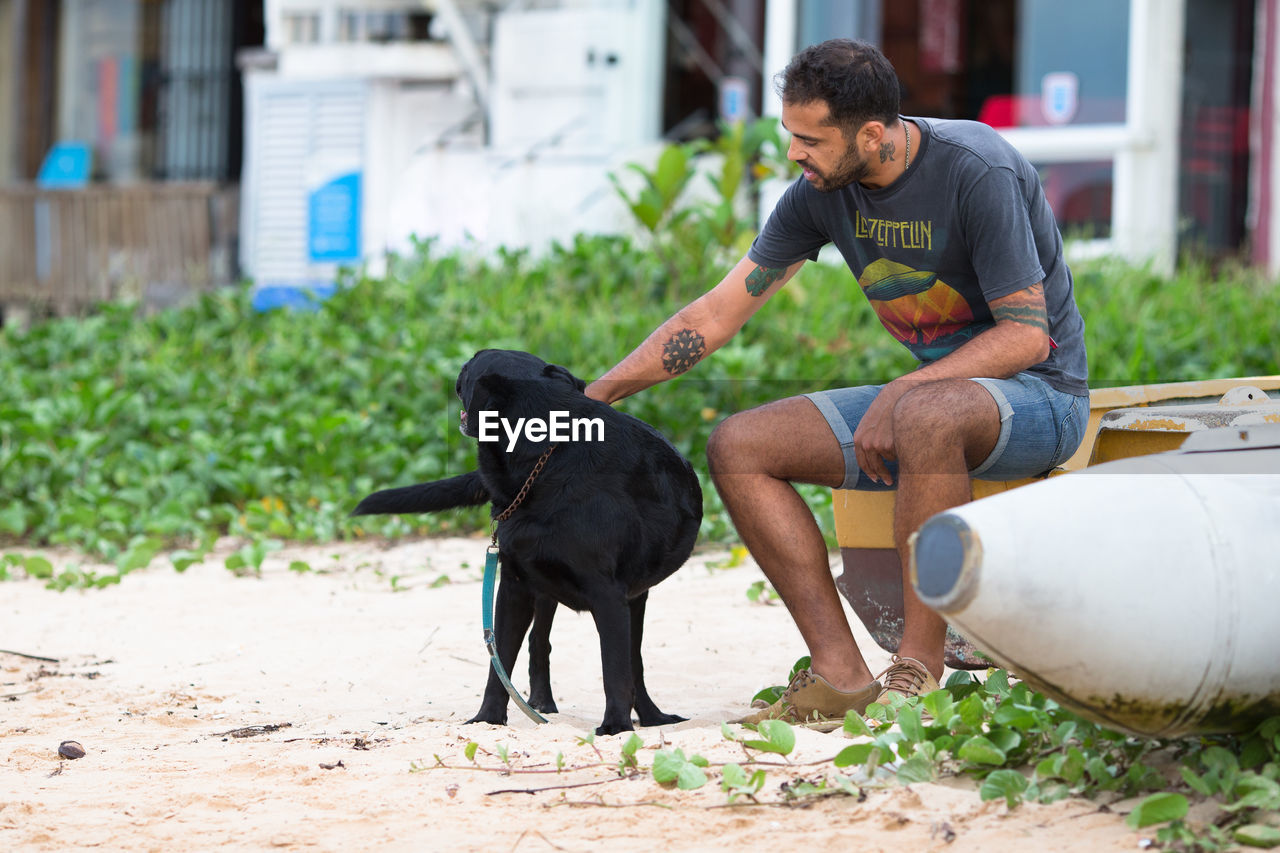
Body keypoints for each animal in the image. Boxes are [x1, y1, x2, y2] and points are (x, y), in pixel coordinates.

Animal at [350, 348, 701, 732]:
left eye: (472, 365)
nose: (460, 364)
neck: (544, 461)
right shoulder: (514, 586)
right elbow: (499, 661)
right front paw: (488, 719)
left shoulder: (608, 594)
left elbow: (615, 669)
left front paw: (615, 727)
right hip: (549, 588)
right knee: (540, 642)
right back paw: (544, 703)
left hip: (628, 598)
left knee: (631, 660)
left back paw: (651, 716)